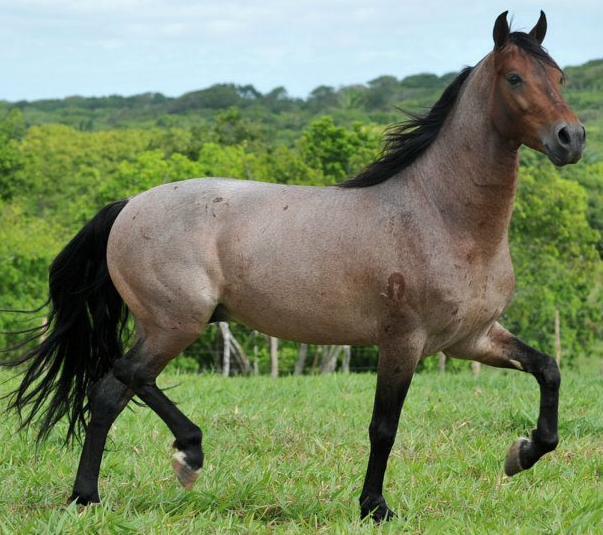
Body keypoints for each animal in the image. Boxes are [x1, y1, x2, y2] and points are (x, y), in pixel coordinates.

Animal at [0, 10, 584, 524]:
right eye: (514, 77)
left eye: (559, 76)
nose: (571, 138)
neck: (440, 214)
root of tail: (128, 205)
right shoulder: (403, 340)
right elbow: (383, 427)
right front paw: (375, 508)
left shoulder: (471, 338)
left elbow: (548, 369)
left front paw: (522, 453)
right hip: (176, 323)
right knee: (127, 376)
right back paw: (186, 455)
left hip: (166, 326)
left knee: (108, 394)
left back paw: (87, 496)